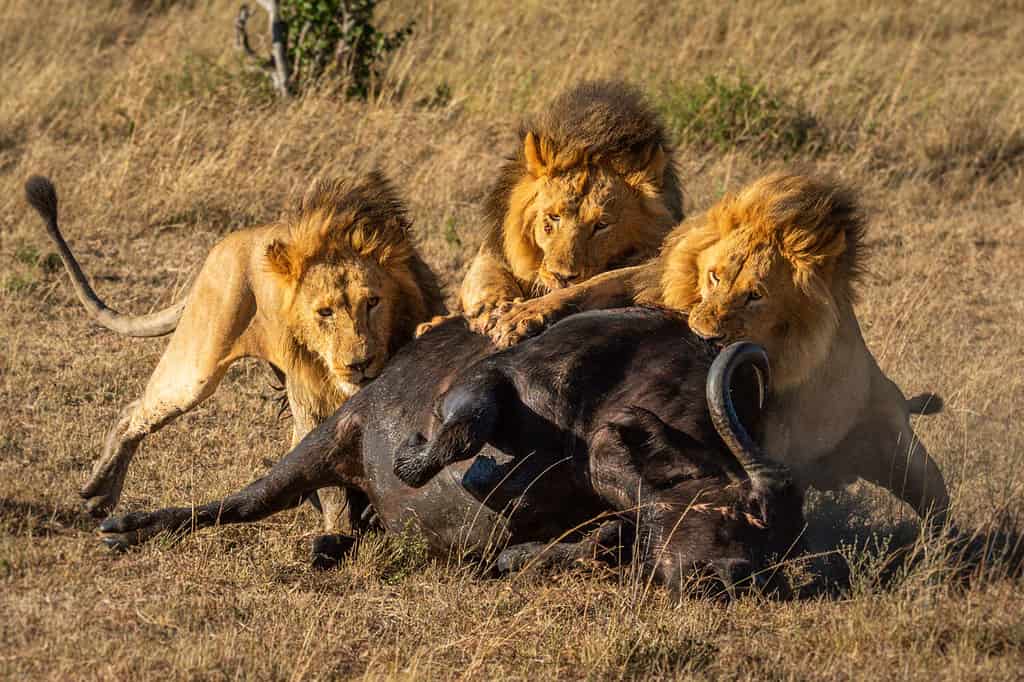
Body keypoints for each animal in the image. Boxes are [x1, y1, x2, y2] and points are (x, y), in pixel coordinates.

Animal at [24, 168, 444, 524]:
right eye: (324, 312)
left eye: (372, 302)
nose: (359, 363)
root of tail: (227, 242)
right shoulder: (309, 399)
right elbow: (332, 489)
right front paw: (340, 535)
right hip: (199, 363)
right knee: (137, 410)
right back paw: (99, 492)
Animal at [103, 307, 806, 593]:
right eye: (744, 509)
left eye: (779, 544)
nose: (733, 577)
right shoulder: (498, 376)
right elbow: (465, 432)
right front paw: (417, 459)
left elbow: (586, 543)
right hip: (326, 439)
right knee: (242, 502)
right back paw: (125, 524)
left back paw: (332, 544)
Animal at [423, 79, 679, 333]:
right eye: (554, 217)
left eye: (602, 225)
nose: (562, 276)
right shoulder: (492, 251)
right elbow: (487, 277)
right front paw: (491, 308)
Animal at [491, 173, 946, 522]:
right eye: (714, 276)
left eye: (755, 296)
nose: (705, 335)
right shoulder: (650, 280)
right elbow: (593, 285)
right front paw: (518, 317)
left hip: (900, 452)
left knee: (936, 501)